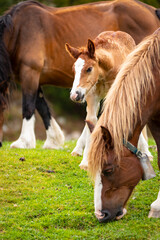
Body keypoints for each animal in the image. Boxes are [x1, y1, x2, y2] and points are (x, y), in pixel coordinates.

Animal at [0, 0, 160, 149]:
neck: (17, 31)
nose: (0, 144)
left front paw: (23, 142)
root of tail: (153, 10)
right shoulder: (32, 77)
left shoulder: (30, 71)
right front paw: (53, 141)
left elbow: (28, 105)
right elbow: (42, 106)